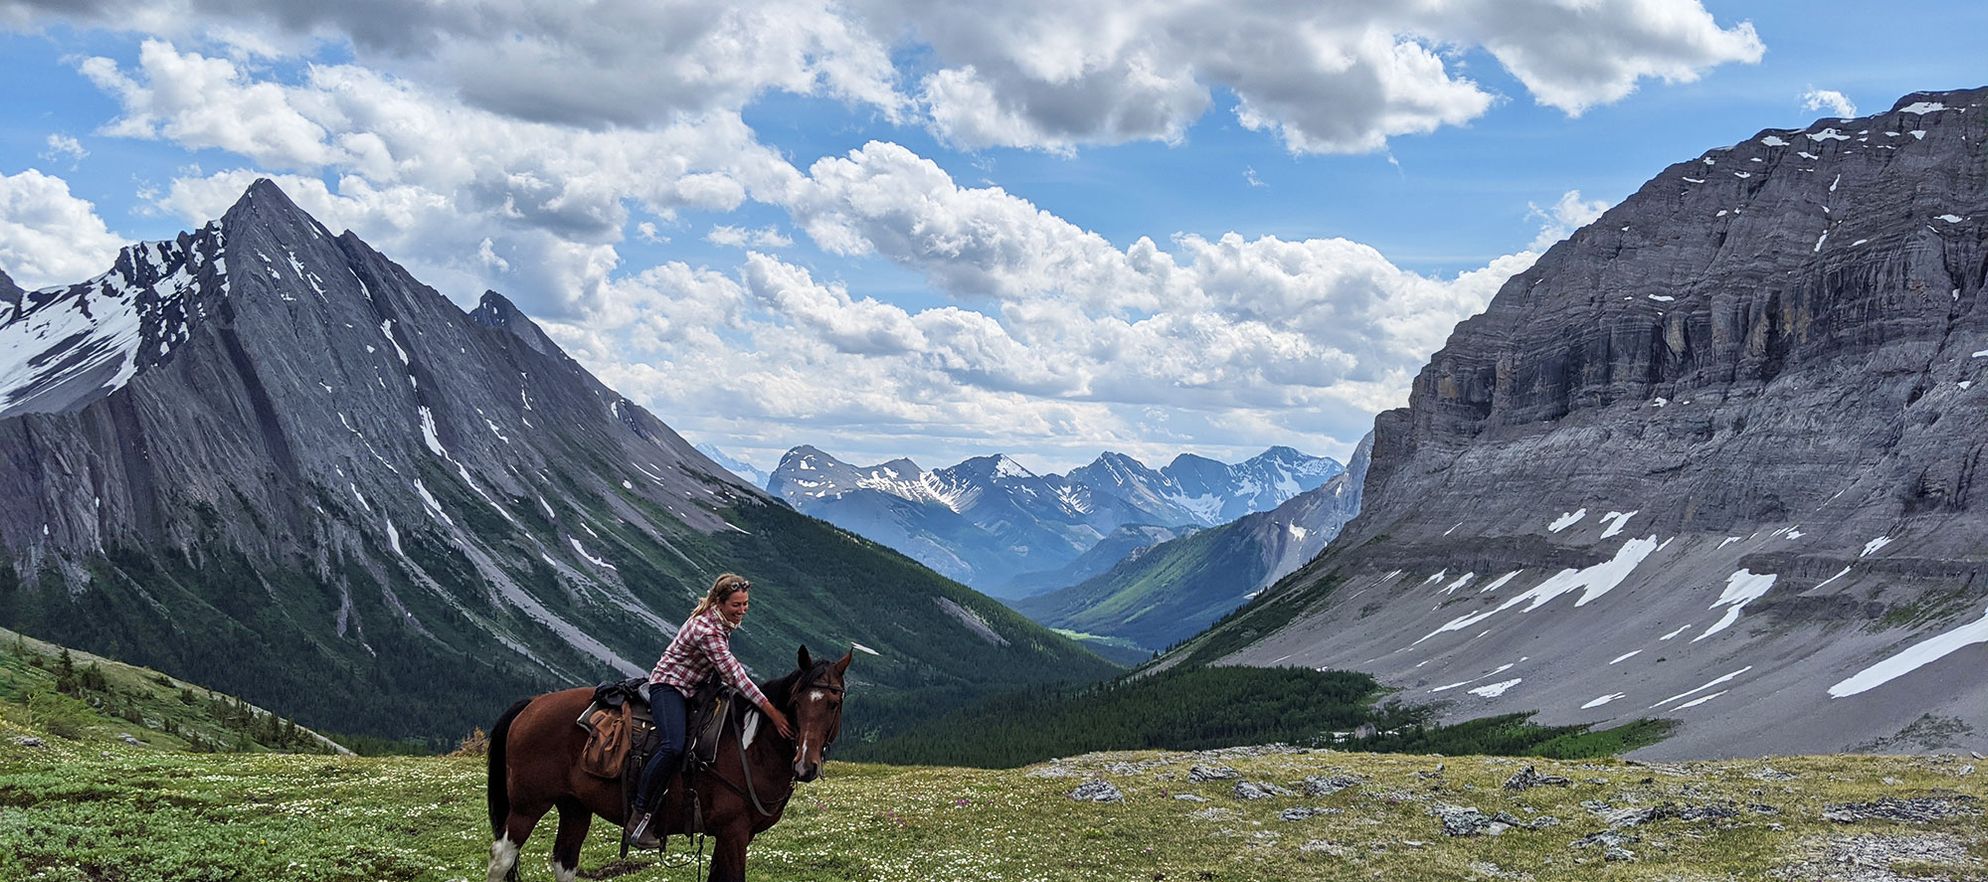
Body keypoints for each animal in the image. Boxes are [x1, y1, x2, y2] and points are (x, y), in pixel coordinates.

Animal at [489, 643, 854, 878]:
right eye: (796, 702)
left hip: (575, 807)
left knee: (564, 863)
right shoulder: (734, 832)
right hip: (527, 806)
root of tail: (531, 704)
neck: (750, 746)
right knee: (501, 859)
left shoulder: (733, 835)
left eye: (834, 703)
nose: (805, 765)